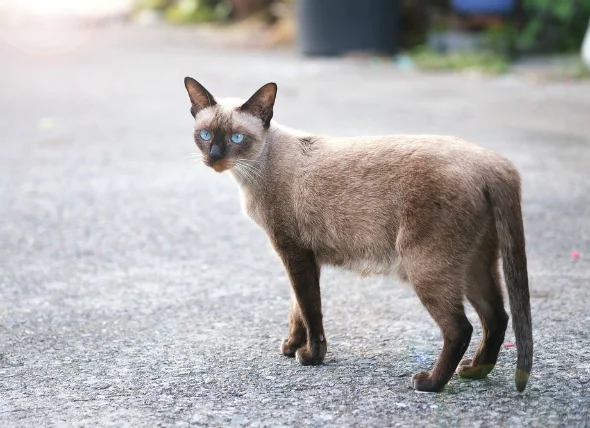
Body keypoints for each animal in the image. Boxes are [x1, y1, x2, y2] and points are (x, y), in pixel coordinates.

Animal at [183, 77, 536, 392]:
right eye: (205, 135)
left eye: (236, 138)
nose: (214, 156)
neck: (255, 170)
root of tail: (494, 163)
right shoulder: (305, 256)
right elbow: (298, 309)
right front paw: (291, 346)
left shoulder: (293, 251)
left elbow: (311, 311)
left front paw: (310, 357)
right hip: (475, 265)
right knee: (498, 317)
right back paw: (474, 372)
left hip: (426, 266)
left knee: (461, 328)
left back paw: (430, 383)